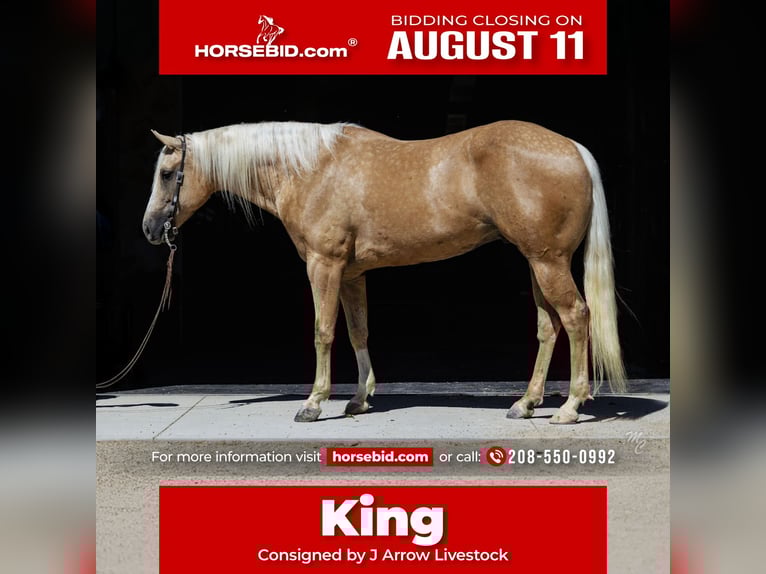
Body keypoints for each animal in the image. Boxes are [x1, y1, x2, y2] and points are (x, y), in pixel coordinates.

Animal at [142, 121, 626, 424]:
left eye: (167, 173)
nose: (150, 228)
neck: (311, 169)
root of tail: (574, 150)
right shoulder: (352, 274)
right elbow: (358, 331)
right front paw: (359, 399)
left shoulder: (324, 265)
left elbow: (323, 332)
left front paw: (314, 403)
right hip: (538, 262)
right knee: (549, 327)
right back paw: (525, 403)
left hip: (548, 262)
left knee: (577, 318)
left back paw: (569, 408)